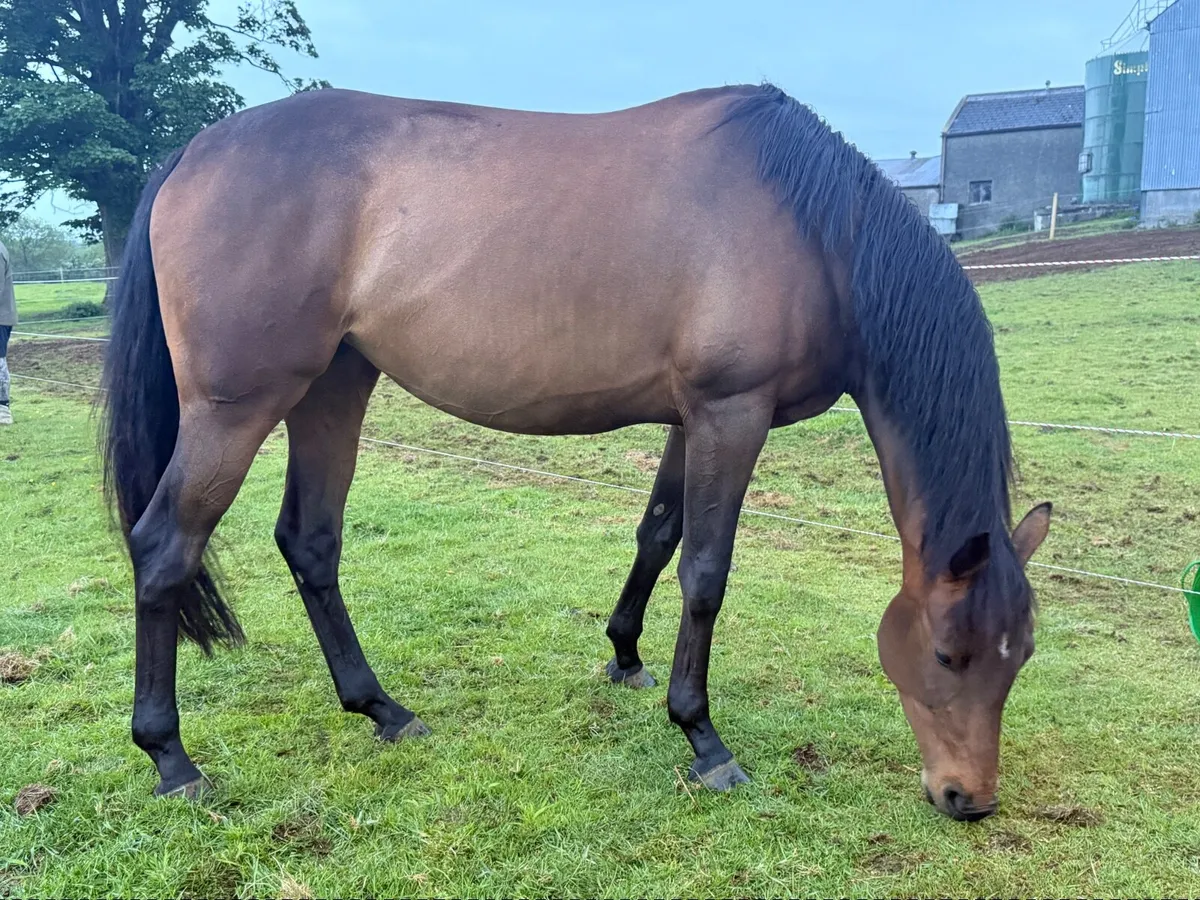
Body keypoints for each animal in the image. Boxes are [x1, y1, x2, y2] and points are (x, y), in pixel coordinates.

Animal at [101, 82, 1052, 821]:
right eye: (947, 655)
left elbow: (659, 536)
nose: (969, 799)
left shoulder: (691, 418)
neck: (818, 235)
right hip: (236, 408)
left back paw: (382, 710)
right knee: (165, 548)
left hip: (334, 386)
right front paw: (704, 738)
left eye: (1025, 654)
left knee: (310, 542)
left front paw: (625, 657)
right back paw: (171, 758)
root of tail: (192, 153)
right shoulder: (731, 412)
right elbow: (707, 572)